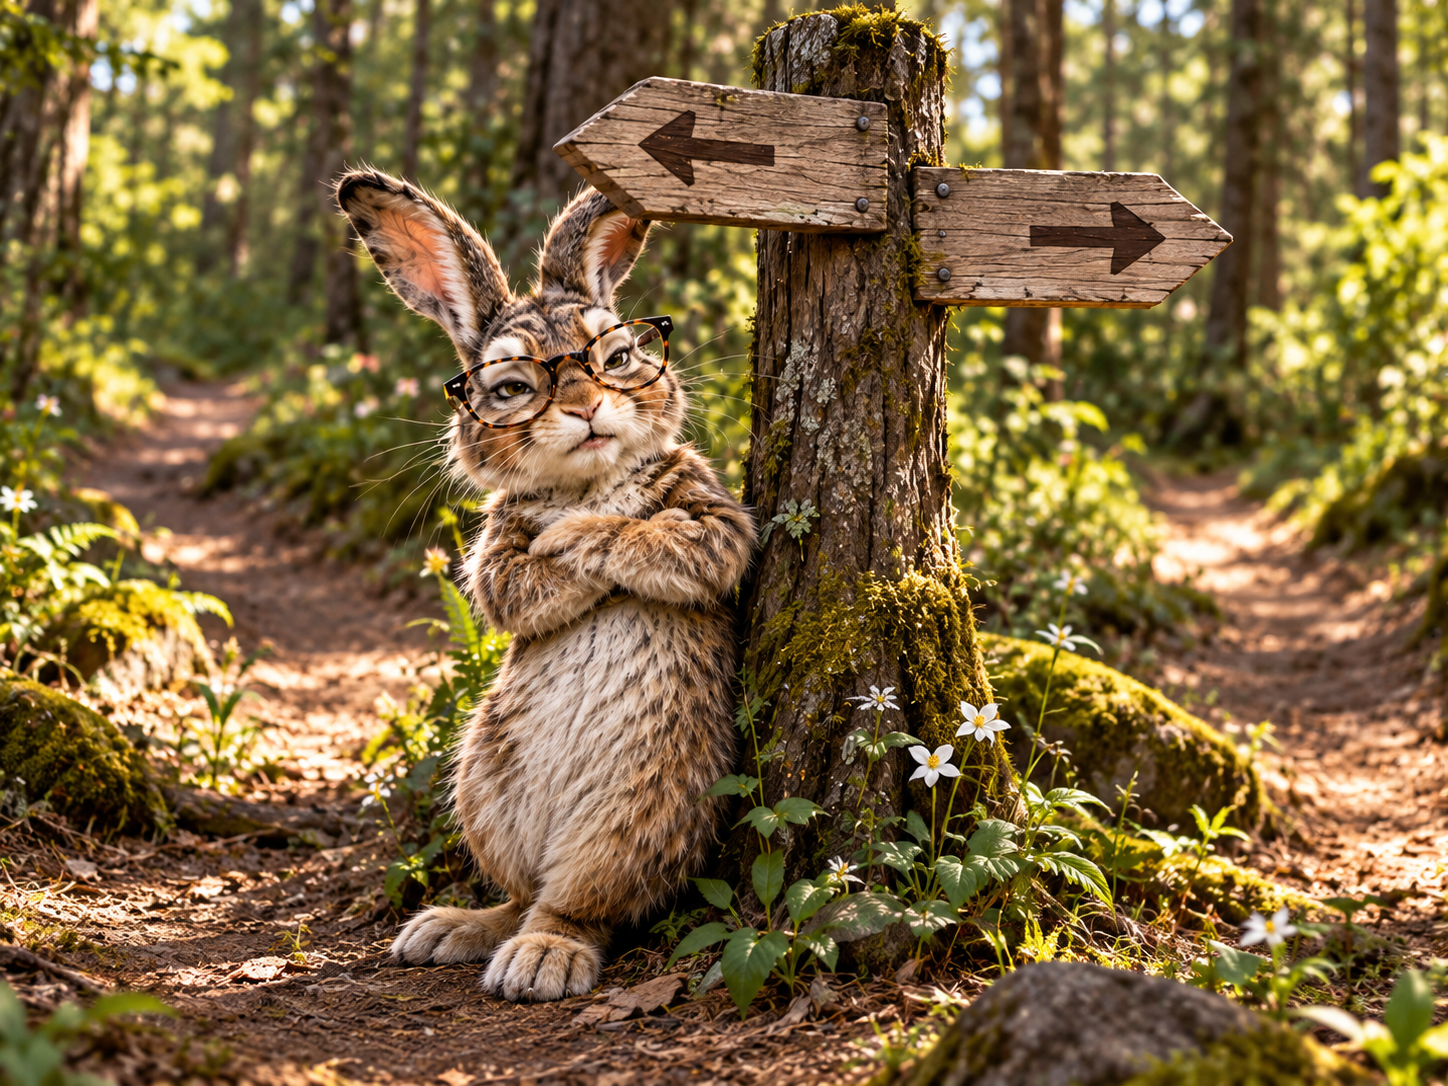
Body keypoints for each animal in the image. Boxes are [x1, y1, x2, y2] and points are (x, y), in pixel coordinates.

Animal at [334, 168, 755, 1002]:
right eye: (510, 387)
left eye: (618, 354)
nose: (585, 406)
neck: (585, 482)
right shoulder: (497, 557)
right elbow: (512, 589)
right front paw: (563, 541)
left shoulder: (712, 518)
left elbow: (663, 539)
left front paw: (578, 534)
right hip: (483, 792)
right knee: (522, 894)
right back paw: (453, 931)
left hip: (634, 810)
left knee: (575, 906)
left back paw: (541, 958)